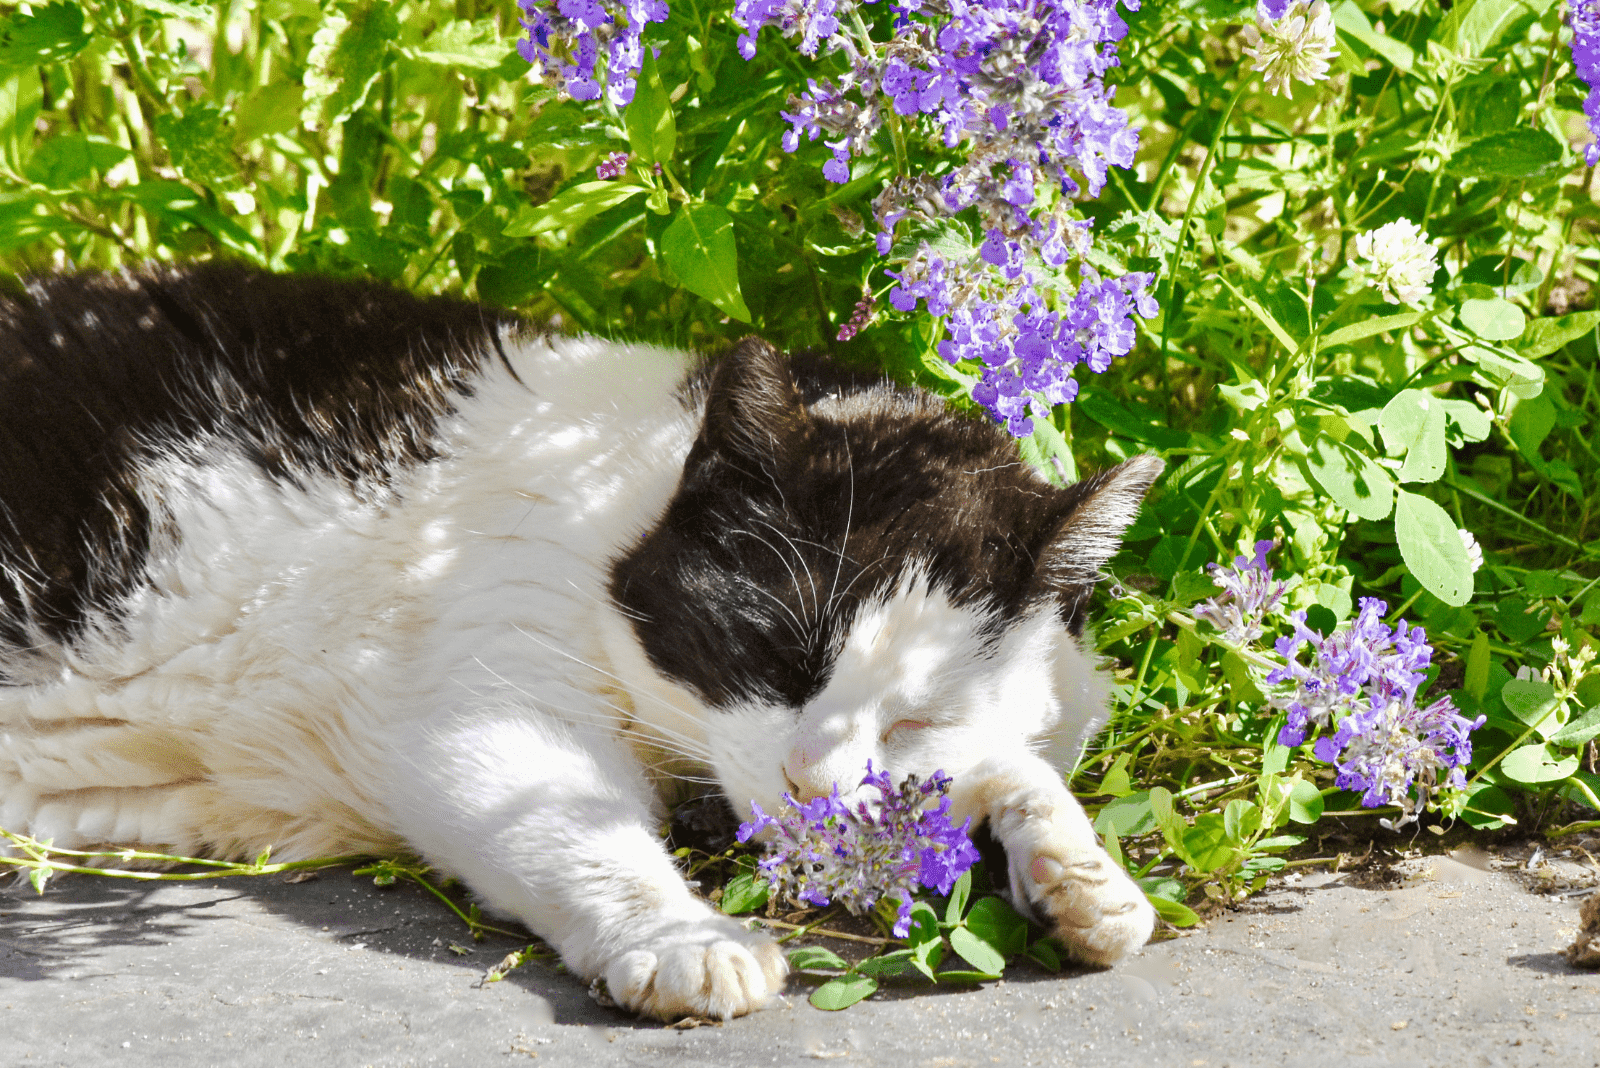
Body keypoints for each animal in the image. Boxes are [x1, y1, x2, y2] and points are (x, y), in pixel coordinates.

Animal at [0, 265, 1158, 1016]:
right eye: (774, 652)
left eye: (921, 714)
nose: (814, 785)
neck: (621, 499)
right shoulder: (485, 702)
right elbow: (579, 829)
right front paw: (686, 941)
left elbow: (1007, 771)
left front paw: (1081, 876)